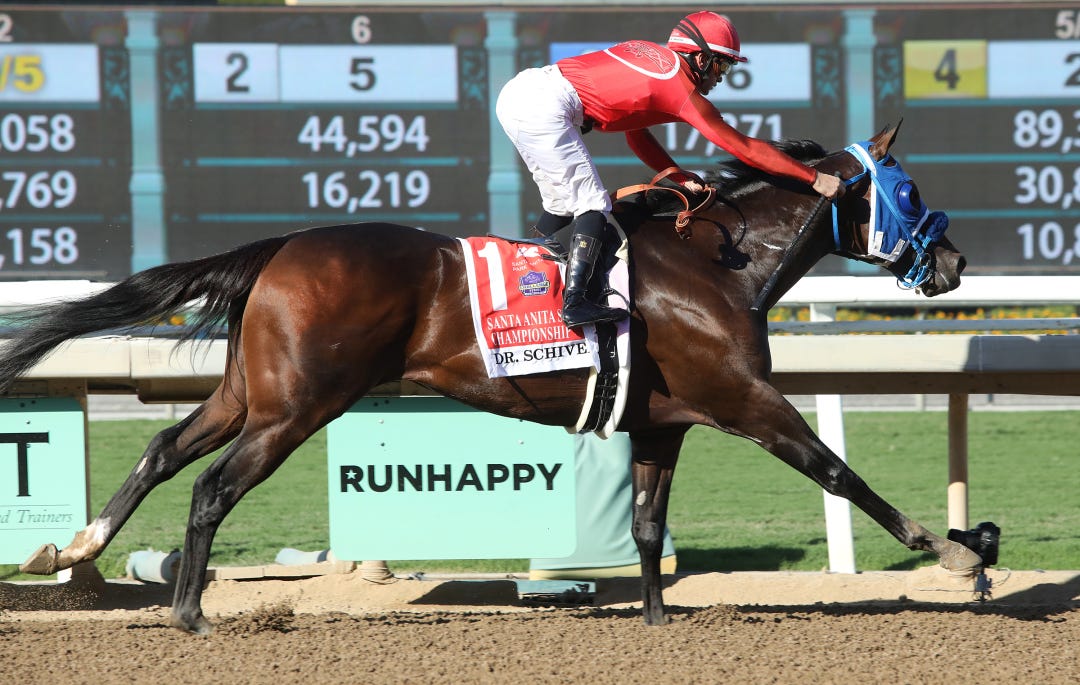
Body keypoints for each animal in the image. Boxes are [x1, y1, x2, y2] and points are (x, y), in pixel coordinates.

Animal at [2, 123, 980, 635]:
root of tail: (281, 246)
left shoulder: (662, 421)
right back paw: (187, 613)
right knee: (211, 483)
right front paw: (956, 551)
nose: (955, 263)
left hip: (253, 392)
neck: (716, 264)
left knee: (165, 448)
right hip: (298, 405)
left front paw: (657, 620)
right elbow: (838, 472)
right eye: (905, 187)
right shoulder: (747, 401)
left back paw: (76, 547)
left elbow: (648, 526)